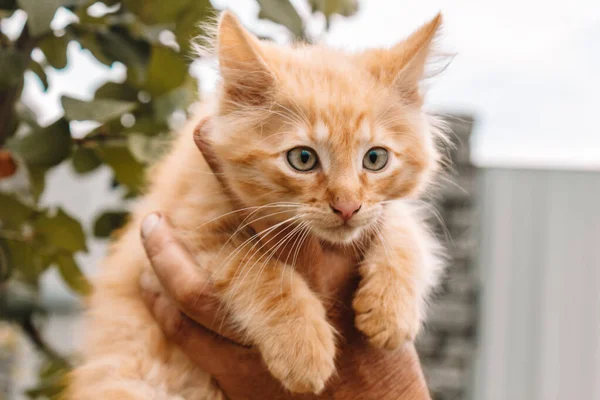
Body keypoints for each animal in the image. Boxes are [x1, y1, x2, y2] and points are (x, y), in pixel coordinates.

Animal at [68, 10, 448, 398]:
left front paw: (391, 311)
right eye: (303, 159)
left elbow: (404, 234)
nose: (346, 207)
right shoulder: (184, 233)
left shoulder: (383, 210)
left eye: (375, 158)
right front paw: (303, 349)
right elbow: (263, 273)